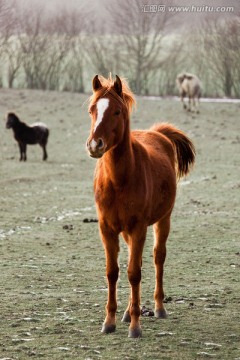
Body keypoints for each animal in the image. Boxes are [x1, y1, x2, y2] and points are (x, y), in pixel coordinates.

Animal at [86, 75, 195, 338]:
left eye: (116, 111)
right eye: (92, 110)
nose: (95, 145)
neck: (119, 180)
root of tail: (157, 133)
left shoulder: (138, 228)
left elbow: (134, 273)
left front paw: (135, 327)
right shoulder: (107, 229)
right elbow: (113, 272)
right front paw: (110, 321)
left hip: (162, 220)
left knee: (158, 258)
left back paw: (158, 307)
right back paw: (126, 312)